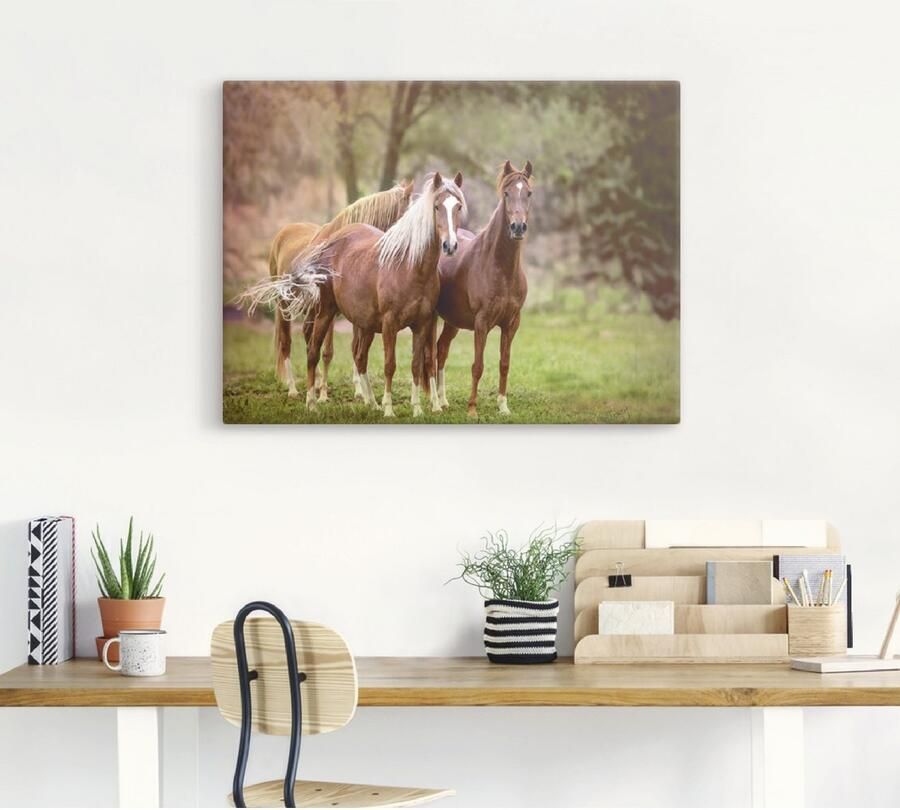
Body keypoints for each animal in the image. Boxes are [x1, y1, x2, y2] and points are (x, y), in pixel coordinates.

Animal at [265, 182, 413, 400]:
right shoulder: (331, 311)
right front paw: (324, 395)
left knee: (308, 337)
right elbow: (328, 352)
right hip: (285, 305)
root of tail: (283, 233)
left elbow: (353, 348)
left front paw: (359, 392)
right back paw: (293, 389)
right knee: (286, 343)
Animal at [434, 160, 533, 418]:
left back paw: (443, 400)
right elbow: (477, 366)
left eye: (528, 193)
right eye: (506, 193)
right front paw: (472, 409)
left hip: (452, 322)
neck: (500, 267)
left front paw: (503, 406)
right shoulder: (482, 323)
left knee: (441, 349)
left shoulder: (511, 323)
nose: (518, 227)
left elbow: (504, 364)